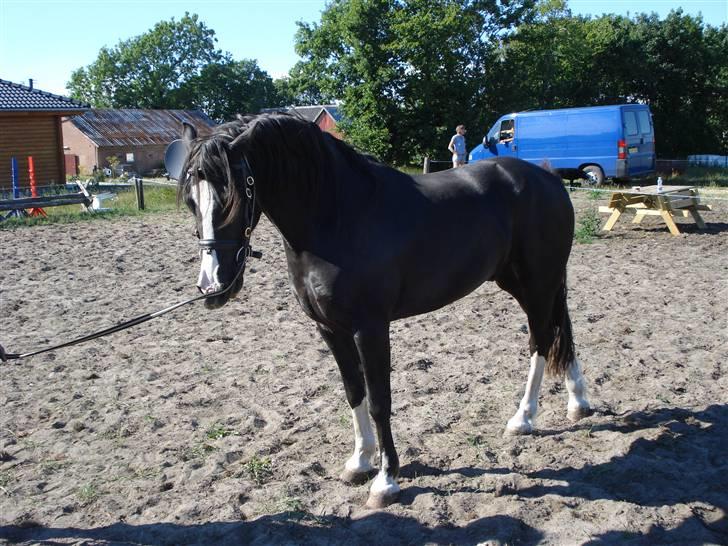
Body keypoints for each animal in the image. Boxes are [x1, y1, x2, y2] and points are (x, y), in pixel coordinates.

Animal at [175, 112, 592, 508]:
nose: (213, 286)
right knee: (560, 330)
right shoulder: (330, 328)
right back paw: (578, 403)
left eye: (233, 198)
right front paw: (359, 462)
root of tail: (548, 178)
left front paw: (385, 481)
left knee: (541, 340)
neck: (337, 217)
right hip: (525, 283)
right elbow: (353, 391)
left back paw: (523, 419)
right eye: (191, 201)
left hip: (538, 283)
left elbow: (379, 402)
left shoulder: (370, 328)